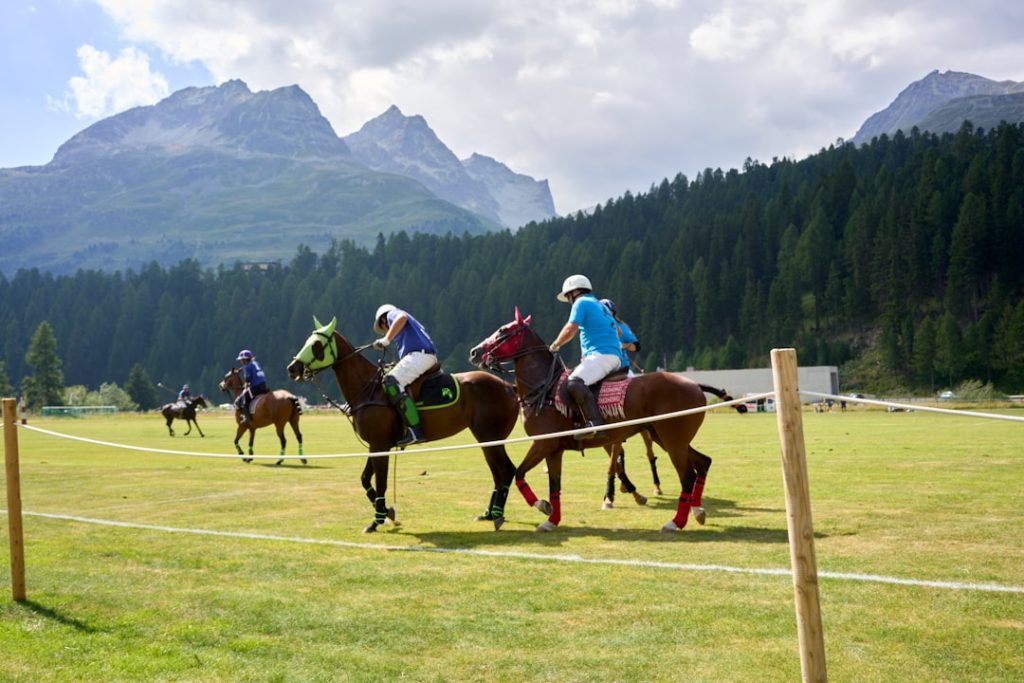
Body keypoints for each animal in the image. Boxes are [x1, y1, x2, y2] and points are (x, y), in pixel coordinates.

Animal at [286, 316, 520, 533]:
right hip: (485, 439)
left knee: (508, 470)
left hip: (491, 436)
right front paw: (387, 511)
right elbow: (365, 479)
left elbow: (381, 482)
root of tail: (509, 387)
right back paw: (489, 514)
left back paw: (498, 516)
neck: (367, 388)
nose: (292, 368)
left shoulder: (380, 444)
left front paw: (376, 520)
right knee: (498, 473)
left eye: (316, 345)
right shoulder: (376, 444)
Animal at [469, 308, 742, 533]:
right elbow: (554, 485)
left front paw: (541, 506)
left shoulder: (543, 443)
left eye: (503, 331)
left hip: (672, 439)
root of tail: (695, 384)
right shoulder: (554, 449)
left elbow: (519, 473)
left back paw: (676, 522)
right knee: (703, 463)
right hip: (666, 437)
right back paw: (697, 511)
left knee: (687, 476)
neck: (543, 389)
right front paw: (551, 519)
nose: (475, 352)